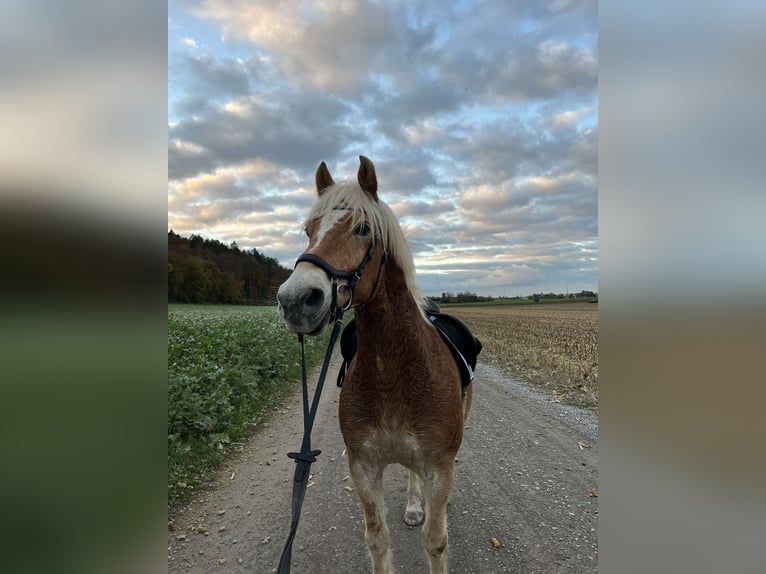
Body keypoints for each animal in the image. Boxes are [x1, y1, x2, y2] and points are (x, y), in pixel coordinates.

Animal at [280, 155, 472, 572]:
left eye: (363, 229)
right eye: (308, 230)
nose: (295, 299)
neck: (394, 370)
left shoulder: (440, 468)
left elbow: (435, 541)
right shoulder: (363, 467)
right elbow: (377, 538)